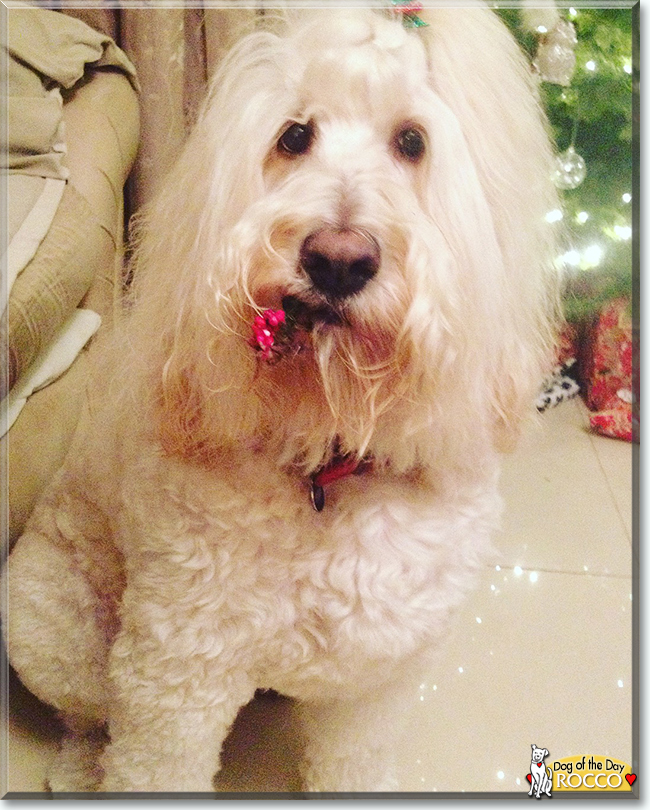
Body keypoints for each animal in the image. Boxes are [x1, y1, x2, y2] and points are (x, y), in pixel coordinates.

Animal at [2, 3, 556, 792]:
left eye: (412, 142)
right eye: (294, 136)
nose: (338, 259)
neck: (325, 454)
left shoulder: (375, 675)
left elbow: (352, 763)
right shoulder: (175, 675)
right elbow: (150, 768)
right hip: (58, 633)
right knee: (89, 721)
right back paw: (80, 771)